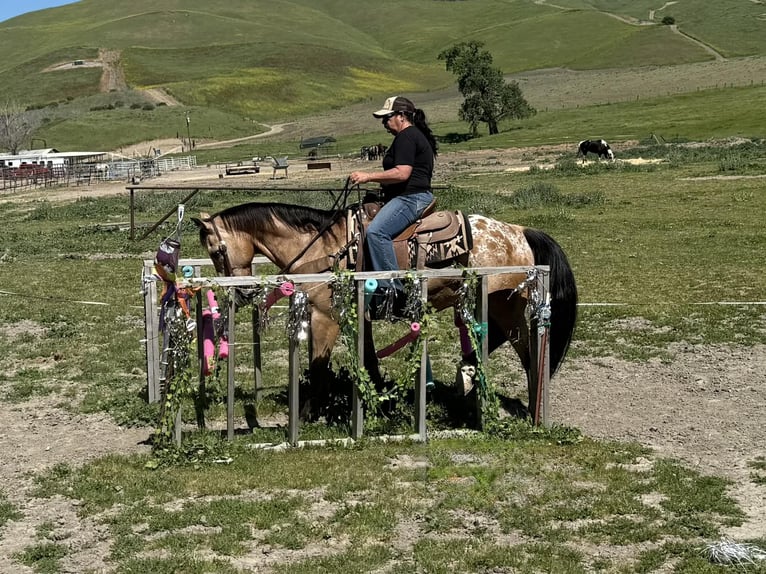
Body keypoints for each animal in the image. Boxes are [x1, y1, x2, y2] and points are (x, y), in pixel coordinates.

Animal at [191, 201, 577, 418]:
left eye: (217, 250)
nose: (241, 293)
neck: (324, 248)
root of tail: (519, 232)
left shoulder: (326, 316)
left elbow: (317, 368)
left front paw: (305, 416)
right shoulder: (356, 317)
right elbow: (369, 361)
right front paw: (379, 401)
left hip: (503, 301)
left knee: (527, 350)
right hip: (500, 303)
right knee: (514, 345)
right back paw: (475, 383)